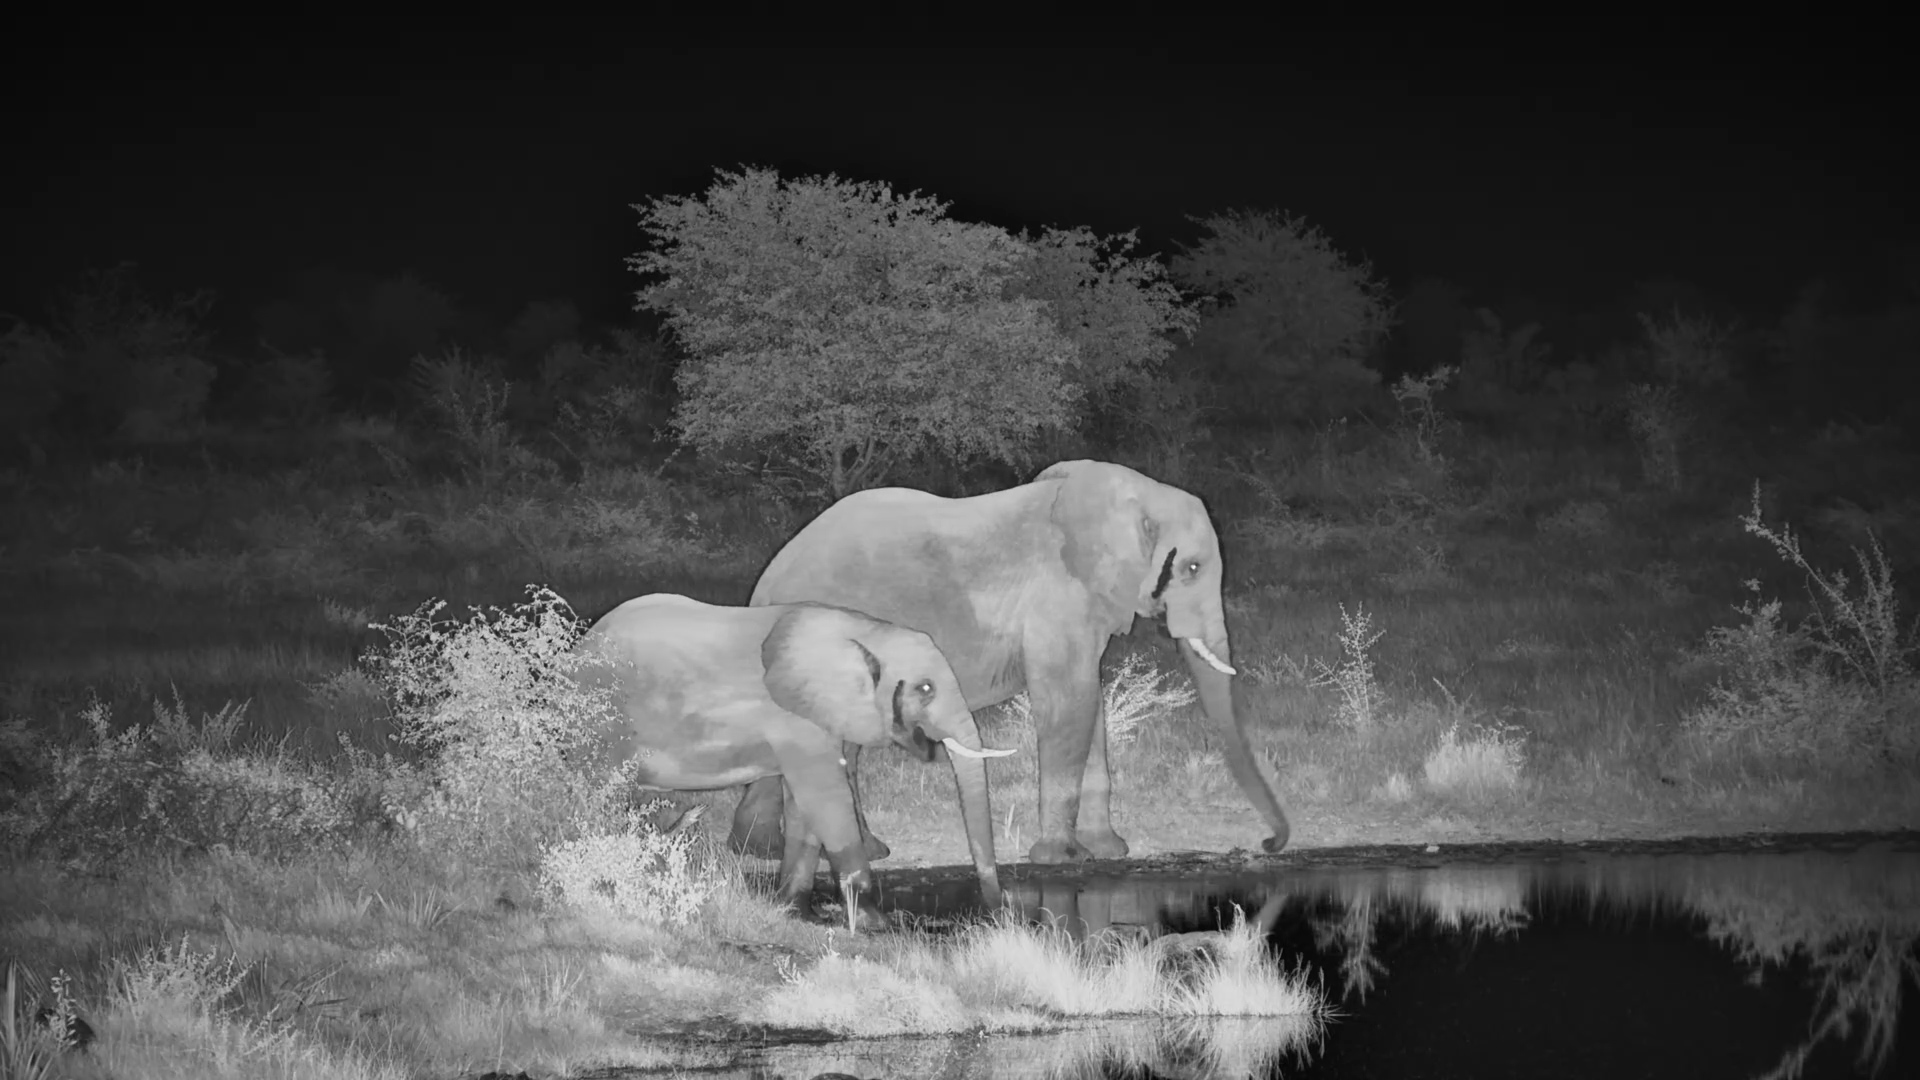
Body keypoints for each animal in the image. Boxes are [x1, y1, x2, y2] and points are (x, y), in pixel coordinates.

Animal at [577, 594, 1007, 928]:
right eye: (925, 688)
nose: (996, 913)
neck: (865, 632)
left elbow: (805, 808)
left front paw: (795, 911)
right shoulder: (794, 720)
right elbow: (825, 797)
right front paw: (876, 924)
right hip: (604, 722)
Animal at [734, 459, 1291, 866]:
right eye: (1192, 567)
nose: (1267, 845)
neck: (1131, 493)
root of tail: (768, 578)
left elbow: (1090, 703)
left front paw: (1109, 852)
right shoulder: (1058, 598)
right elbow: (1069, 703)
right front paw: (1059, 858)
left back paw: (760, 849)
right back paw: (855, 852)